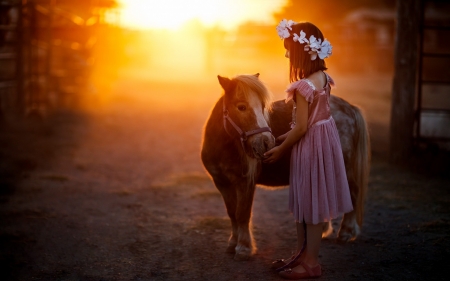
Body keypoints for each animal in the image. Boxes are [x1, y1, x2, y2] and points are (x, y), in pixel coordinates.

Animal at [200, 72, 370, 260]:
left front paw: (244, 247)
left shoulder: (245, 183)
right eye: (241, 107)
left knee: (353, 193)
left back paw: (346, 233)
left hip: (345, 168)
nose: (267, 142)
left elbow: (242, 213)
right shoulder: (222, 183)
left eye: (262, 106)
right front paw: (232, 244)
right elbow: (232, 213)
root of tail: (350, 108)